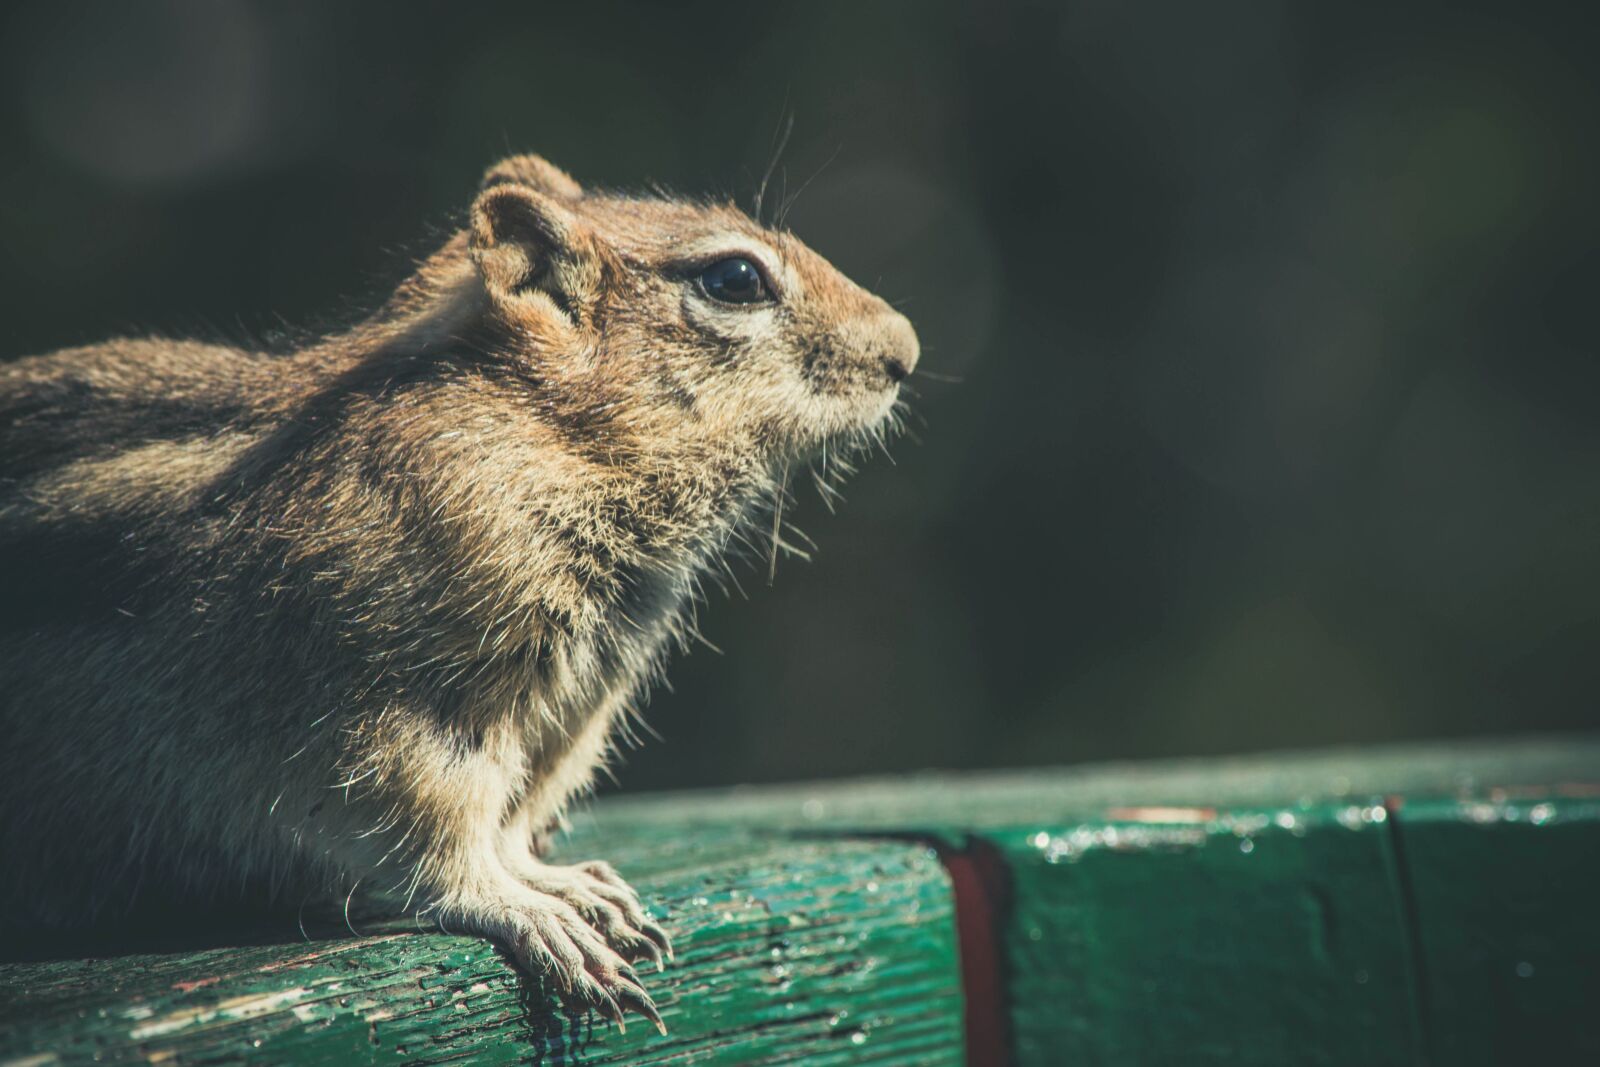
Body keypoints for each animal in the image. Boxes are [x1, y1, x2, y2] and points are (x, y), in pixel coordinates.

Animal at [0, 154, 918, 1030]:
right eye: (735, 279)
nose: (905, 351)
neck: (546, 433)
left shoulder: (564, 717)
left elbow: (509, 823)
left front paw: (566, 882)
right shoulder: (399, 713)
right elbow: (439, 840)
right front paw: (527, 910)